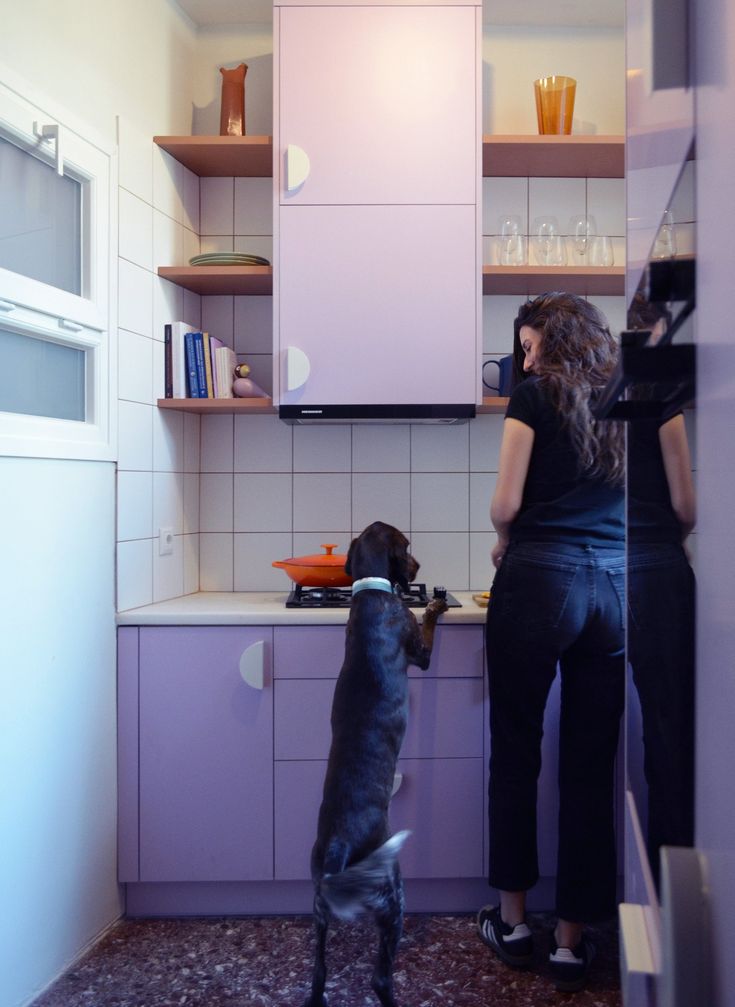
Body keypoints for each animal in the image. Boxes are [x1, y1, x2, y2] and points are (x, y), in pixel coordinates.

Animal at [302, 519, 447, 1007]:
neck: (369, 593)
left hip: (319, 906)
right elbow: (428, 626)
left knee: (319, 972)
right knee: (380, 979)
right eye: (409, 546)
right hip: (393, 895)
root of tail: (338, 847)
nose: (420, 570)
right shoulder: (419, 650)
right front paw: (435, 602)